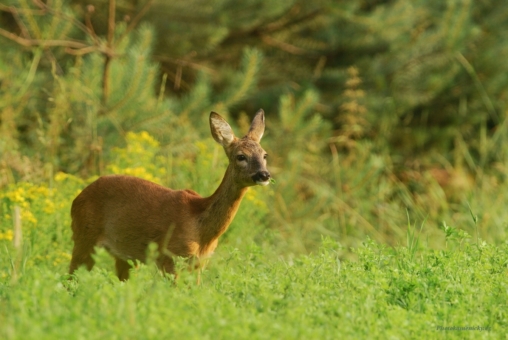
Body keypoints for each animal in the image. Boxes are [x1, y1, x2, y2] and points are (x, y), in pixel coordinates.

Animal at [69, 110, 272, 280]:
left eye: (265, 155)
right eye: (241, 156)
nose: (264, 174)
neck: (201, 229)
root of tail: (77, 198)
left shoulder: (199, 263)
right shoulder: (171, 257)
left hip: (123, 256)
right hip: (85, 238)